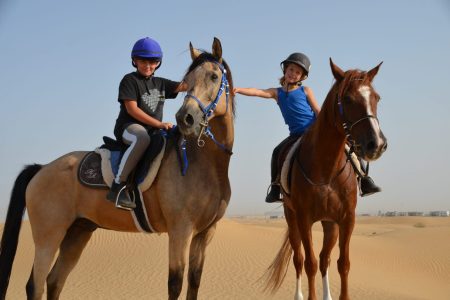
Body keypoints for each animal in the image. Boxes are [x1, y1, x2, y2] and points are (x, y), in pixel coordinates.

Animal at [0, 38, 236, 300]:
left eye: (214, 76)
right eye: (189, 79)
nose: (186, 118)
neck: (204, 164)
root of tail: (42, 169)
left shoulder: (204, 233)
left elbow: (194, 282)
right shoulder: (180, 230)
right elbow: (175, 284)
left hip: (77, 233)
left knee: (55, 281)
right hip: (48, 237)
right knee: (36, 285)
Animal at [264, 59, 386, 300]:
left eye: (376, 98)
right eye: (347, 99)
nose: (376, 145)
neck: (327, 171)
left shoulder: (346, 219)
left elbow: (343, 263)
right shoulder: (304, 219)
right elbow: (309, 263)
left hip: (330, 224)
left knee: (324, 259)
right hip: (292, 218)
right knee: (300, 259)